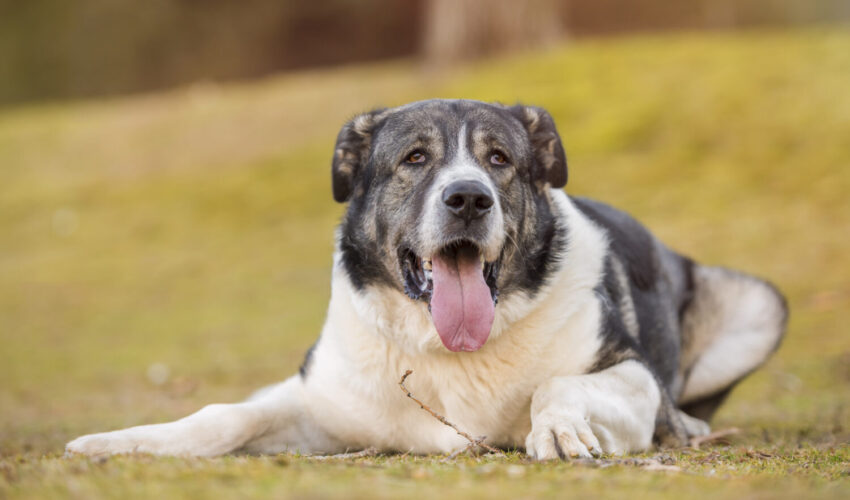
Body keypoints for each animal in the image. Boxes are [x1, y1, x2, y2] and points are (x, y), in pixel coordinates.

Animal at [68, 99, 788, 458]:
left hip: (763, 305)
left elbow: (561, 383)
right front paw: (124, 442)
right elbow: (224, 415)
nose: (468, 198)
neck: (449, 351)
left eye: (499, 159)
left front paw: (558, 428)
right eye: (415, 158)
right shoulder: (320, 401)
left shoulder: (632, 375)